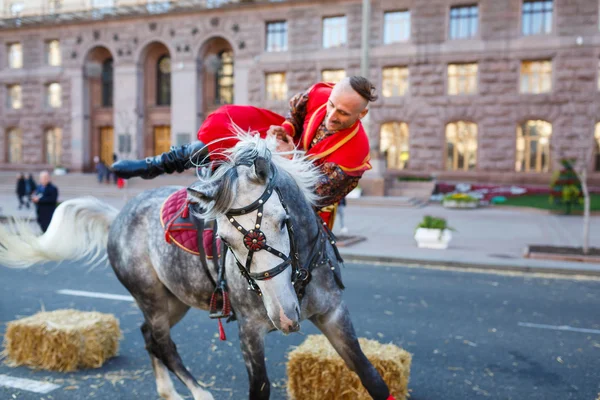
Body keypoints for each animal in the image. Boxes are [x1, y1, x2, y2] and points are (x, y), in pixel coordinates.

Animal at [0, 135, 396, 400]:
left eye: (282, 221)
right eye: (226, 239)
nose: (285, 316)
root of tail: (118, 216)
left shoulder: (334, 314)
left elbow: (371, 376)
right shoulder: (250, 331)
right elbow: (260, 387)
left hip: (174, 301)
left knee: (149, 337)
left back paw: (168, 392)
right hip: (151, 298)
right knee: (163, 343)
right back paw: (199, 393)